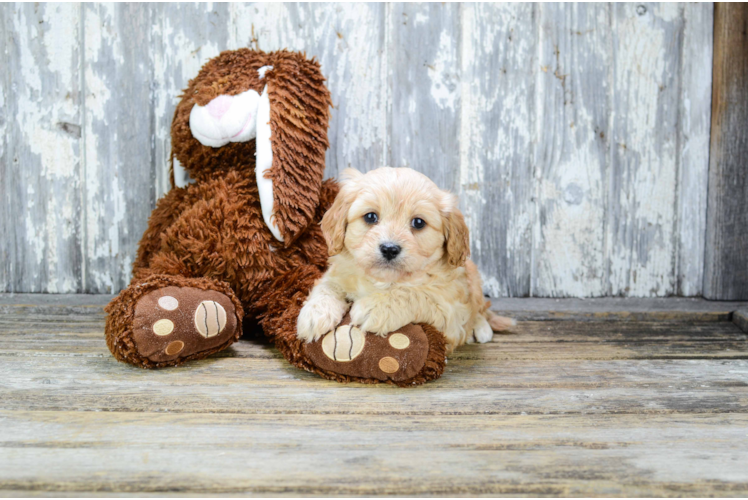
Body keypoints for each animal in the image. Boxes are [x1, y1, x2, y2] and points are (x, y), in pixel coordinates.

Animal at [298, 167, 516, 352]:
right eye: (370, 217)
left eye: (418, 222)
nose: (389, 249)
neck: (383, 280)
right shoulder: (336, 274)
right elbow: (326, 287)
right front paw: (314, 314)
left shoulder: (450, 312)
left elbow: (415, 293)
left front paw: (376, 307)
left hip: (474, 279)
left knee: (480, 309)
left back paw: (481, 329)